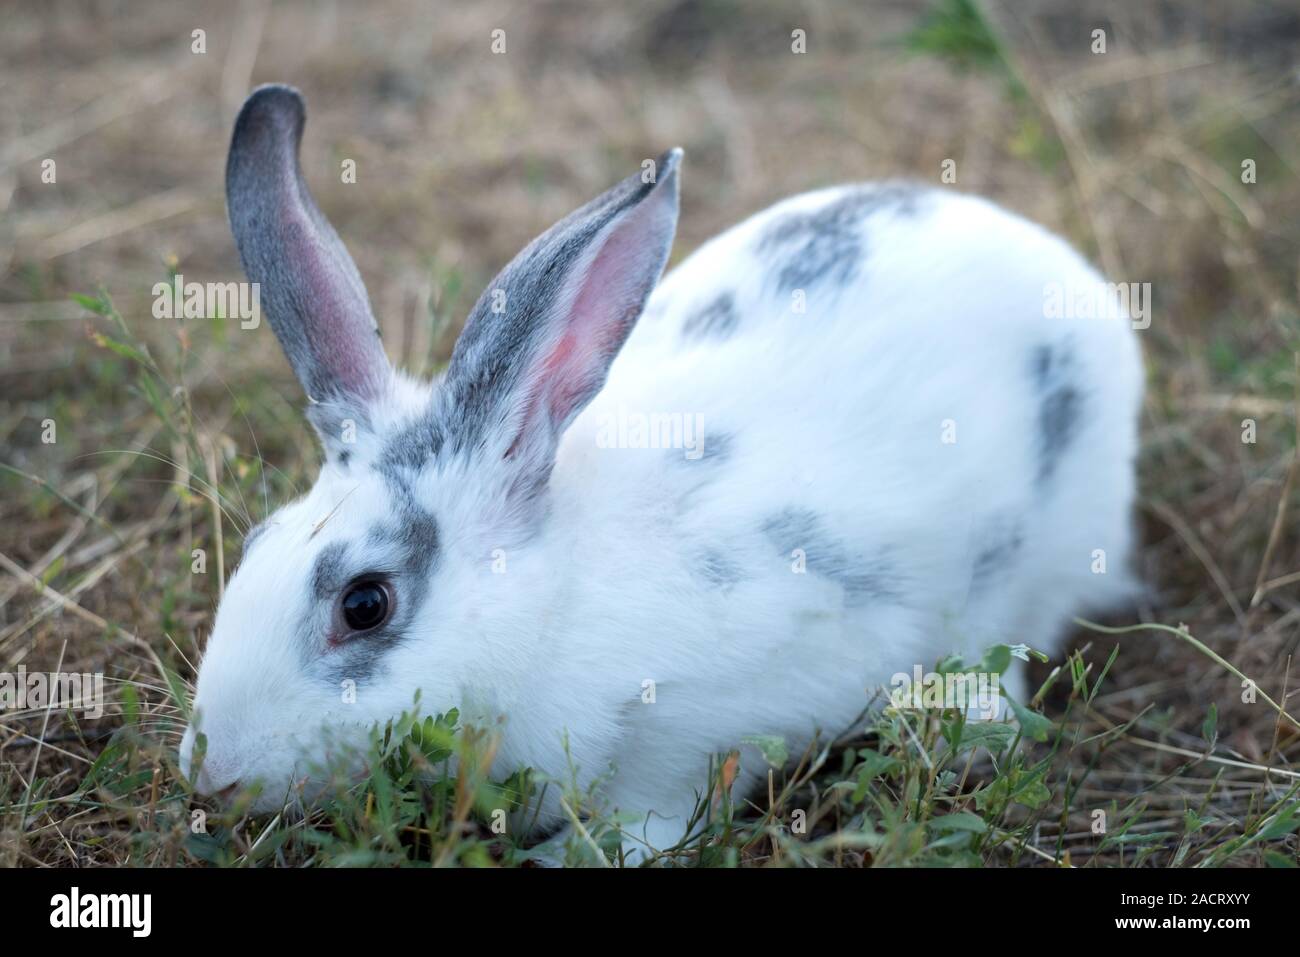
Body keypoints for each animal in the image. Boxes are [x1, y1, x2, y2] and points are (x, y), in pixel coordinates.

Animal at [179, 84, 1143, 863]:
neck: (553, 605)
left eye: (366, 603)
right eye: (255, 543)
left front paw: (570, 855)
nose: (212, 770)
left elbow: (662, 815)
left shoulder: (695, 735)